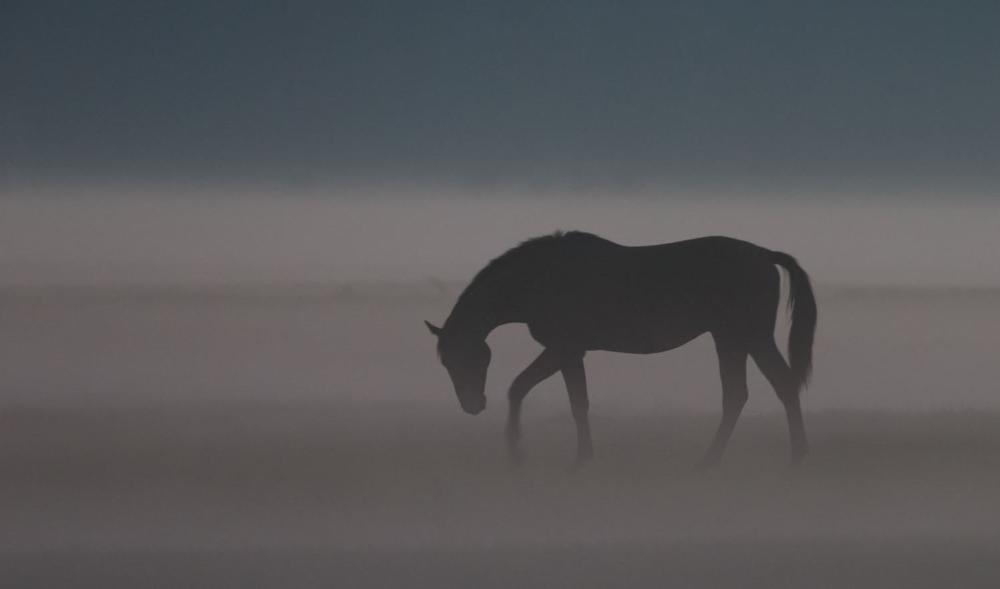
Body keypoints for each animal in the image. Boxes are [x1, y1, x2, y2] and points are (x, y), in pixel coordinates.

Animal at [426, 232, 816, 466]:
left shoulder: (565, 349)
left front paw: (528, 454)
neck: (542, 279)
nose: (472, 405)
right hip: (729, 337)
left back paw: (795, 457)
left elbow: (546, 395)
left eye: (465, 359)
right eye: (445, 363)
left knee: (780, 386)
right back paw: (711, 461)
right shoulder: (568, 352)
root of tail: (764, 255)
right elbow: (555, 396)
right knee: (738, 394)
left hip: (752, 335)